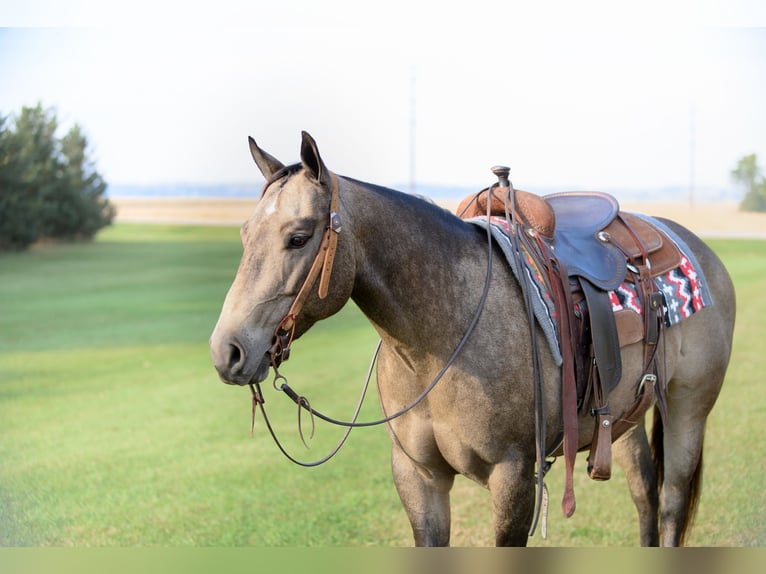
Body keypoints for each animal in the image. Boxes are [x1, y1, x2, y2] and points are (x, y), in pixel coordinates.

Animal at [209, 132, 736, 546]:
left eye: (298, 237)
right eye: (244, 234)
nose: (227, 351)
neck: (441, 335)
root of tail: (690, 242)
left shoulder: (515, 476)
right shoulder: (419, 478)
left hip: (689, 408)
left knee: (671, 503)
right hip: (624, 415)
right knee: (645, 494)